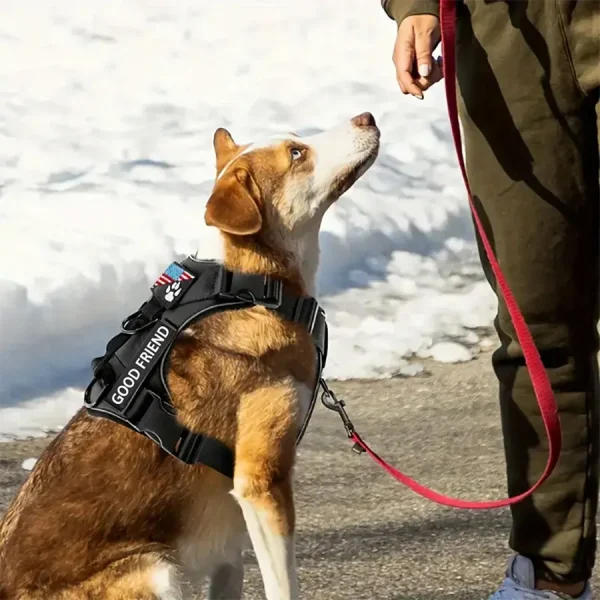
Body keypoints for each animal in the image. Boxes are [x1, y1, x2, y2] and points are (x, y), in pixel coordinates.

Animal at [0, 112, 380, 600]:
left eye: (296, 139)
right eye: (297, 153)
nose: (366, 116)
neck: (247, 286)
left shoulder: (230, 541)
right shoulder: (261, 482)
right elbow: (284, 587)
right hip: (157, 570)